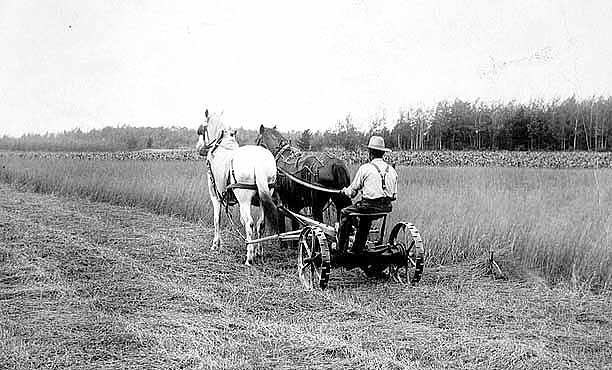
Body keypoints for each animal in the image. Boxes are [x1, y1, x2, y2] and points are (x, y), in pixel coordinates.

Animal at [196, 108, 278, 264]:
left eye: (201, 129)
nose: (199, 148)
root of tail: (257, 162)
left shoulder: (215, 196)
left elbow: (217, 219)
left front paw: (216, 244)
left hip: (244, 199)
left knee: (250, 223)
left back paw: (249, 258)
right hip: (265, 195)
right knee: (260, 223)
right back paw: (258, 251)